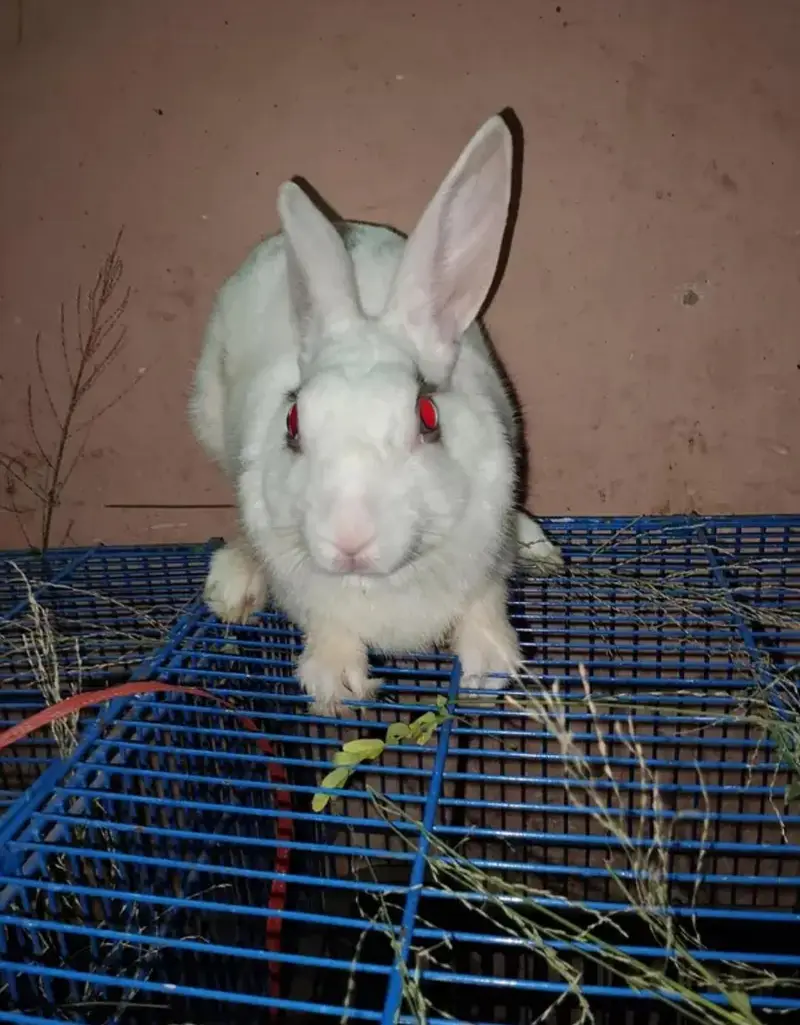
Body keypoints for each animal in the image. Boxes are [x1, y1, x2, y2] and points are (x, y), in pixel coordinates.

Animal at [189, 113, 563, 713]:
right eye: (293, 423)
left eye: (428, 416)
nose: (349, 541)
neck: (384, 580)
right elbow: (329, 626)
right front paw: (335, 685)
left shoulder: (488, 561)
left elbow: (486, 604)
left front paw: (487, 670)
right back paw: (235, 583)